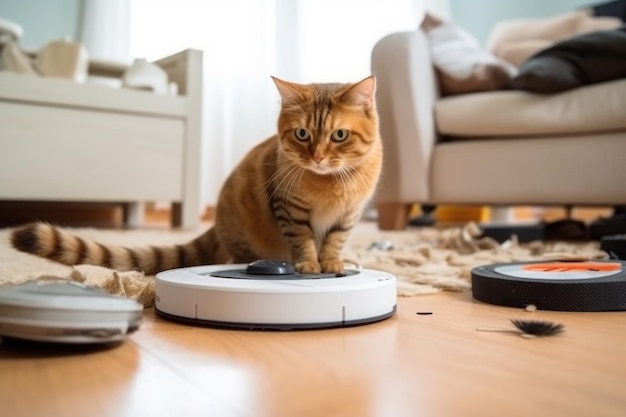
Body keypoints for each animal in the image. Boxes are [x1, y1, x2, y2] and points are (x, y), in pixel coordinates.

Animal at [9, 76, 380, 274]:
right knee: (237, 256)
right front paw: (308, 264)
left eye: (339, 135)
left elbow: (334, 241)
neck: (330, 184)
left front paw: (332, 262)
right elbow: (303, 241)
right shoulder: (290, 210)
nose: (317, 157)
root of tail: (215, 225)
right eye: (302, 134)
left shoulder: (348, 215)